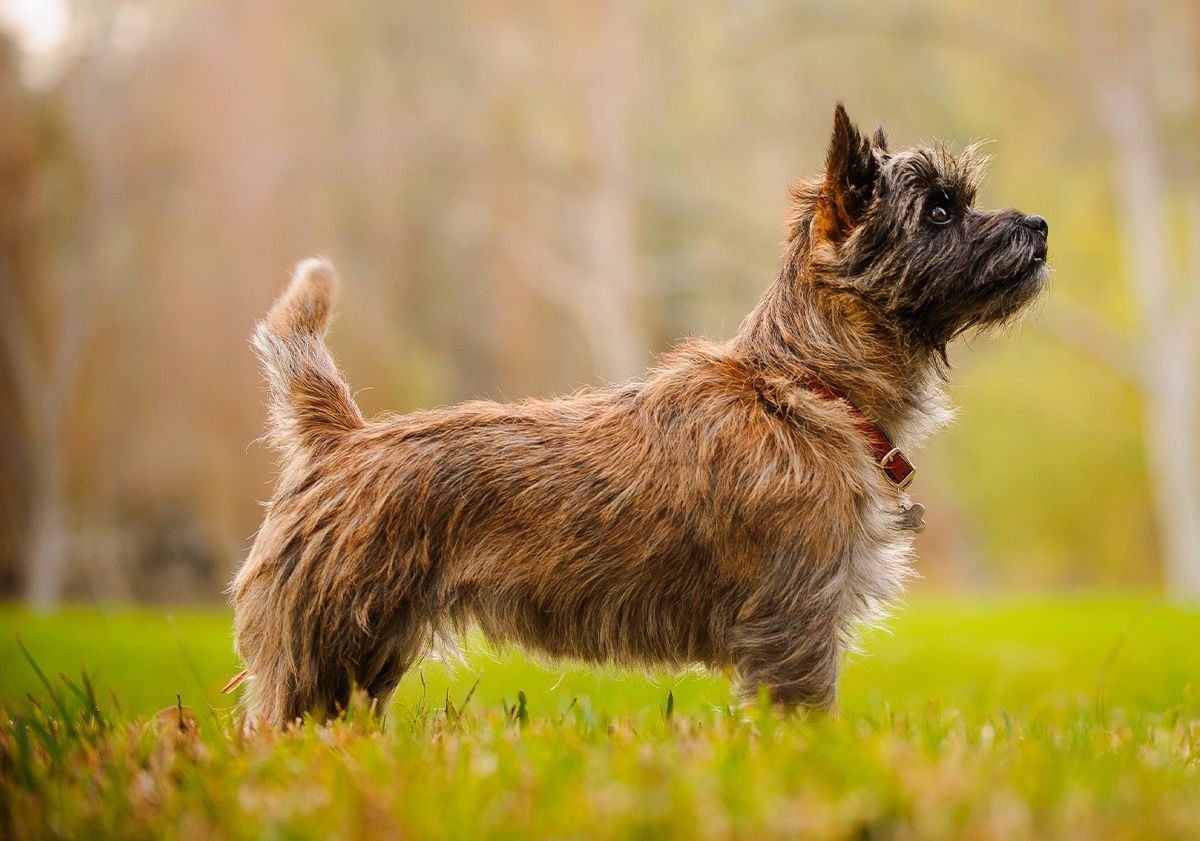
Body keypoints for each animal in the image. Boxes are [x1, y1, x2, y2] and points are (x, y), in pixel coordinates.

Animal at [226, 103, 1051, 719]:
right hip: (323, 655)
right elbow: (804, 718)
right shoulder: (797, 624)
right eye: (940, 211)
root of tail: (341, 438)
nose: (1039, 226)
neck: (806, 386)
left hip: (364, 656)